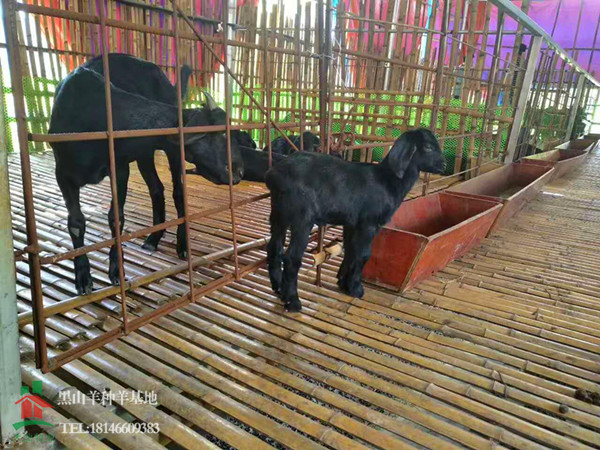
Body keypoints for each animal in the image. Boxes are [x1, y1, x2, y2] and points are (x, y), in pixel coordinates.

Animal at [48, 55, 241, 296]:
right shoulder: (62, 174)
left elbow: (116, 218)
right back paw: (153, 238)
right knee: (157, 189)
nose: (238, 172)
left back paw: (182, 245)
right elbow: (76, 222)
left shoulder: (120, 169)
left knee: (178, 193)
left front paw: (115, 271)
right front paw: (83, 277)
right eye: (223, 133)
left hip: (170, 151)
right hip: (144, 153)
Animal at [268, 126, 446, 312]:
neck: (387, 181)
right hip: (302, 217)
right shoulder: (368, 223)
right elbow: (364, 254)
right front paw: (356, 289)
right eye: (428, 147)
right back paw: (292, 301)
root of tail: (275, 175)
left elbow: (350, 250)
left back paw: (278, 287)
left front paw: (343, 282)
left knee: (274, 248)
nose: (444, 165)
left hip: (279, 213)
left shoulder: (352, 223)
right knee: (292, 257)